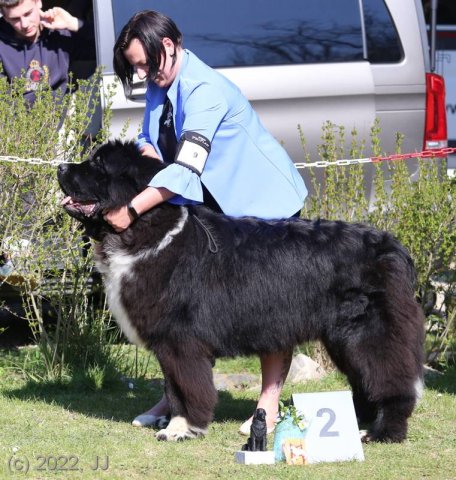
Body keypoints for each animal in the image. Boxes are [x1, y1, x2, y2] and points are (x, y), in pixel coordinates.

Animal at [56, 139, 424, 442]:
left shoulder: (180, 341)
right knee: (364, 381)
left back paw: (383, 432)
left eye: (98, 164)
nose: (60, 167)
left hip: (368, 333)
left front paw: (181, 428)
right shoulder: (169, 342)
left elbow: (186, 389)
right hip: (342, 338)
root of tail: (392, 246)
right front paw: (173, 422)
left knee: (391, 380)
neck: (149, 232)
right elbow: (173, 387)